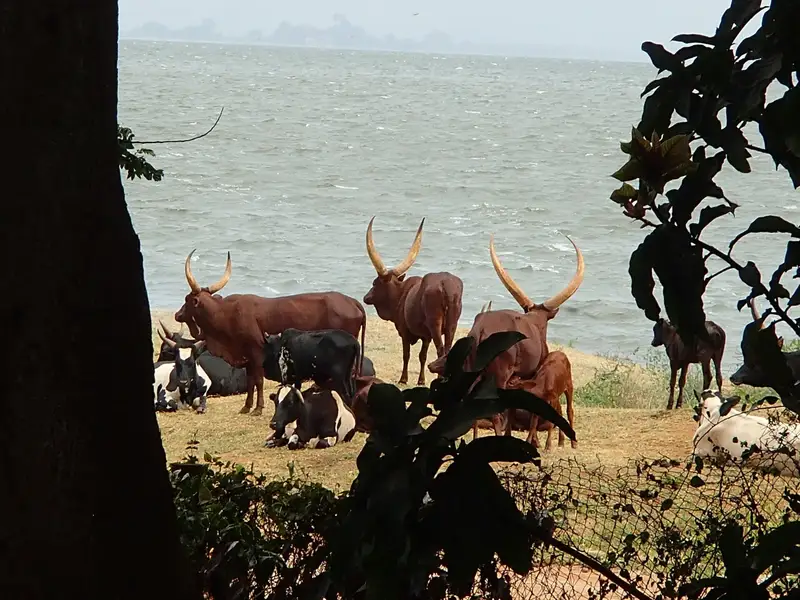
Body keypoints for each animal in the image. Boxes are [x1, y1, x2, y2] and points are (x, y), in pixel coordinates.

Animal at [175, 250, 367, 416]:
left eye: (187, 299)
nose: (177, 314)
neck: (226, 314)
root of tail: (353, 301)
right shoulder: (247, 357)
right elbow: (251, 381)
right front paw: (246, 406)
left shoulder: (256, 354)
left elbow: (258, 381)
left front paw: (258, 408)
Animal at [363, 217, 464, 386]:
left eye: (375, 283)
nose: (366, 297)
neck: (402, 294)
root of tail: (446, 285)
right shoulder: (426, 336)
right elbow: (422, 356)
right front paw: (421, 380)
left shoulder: (405, 332)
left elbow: (407, 355)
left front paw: (403, 379)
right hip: (452, 324)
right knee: (448, 348)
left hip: (435, 324)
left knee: (441, 348)